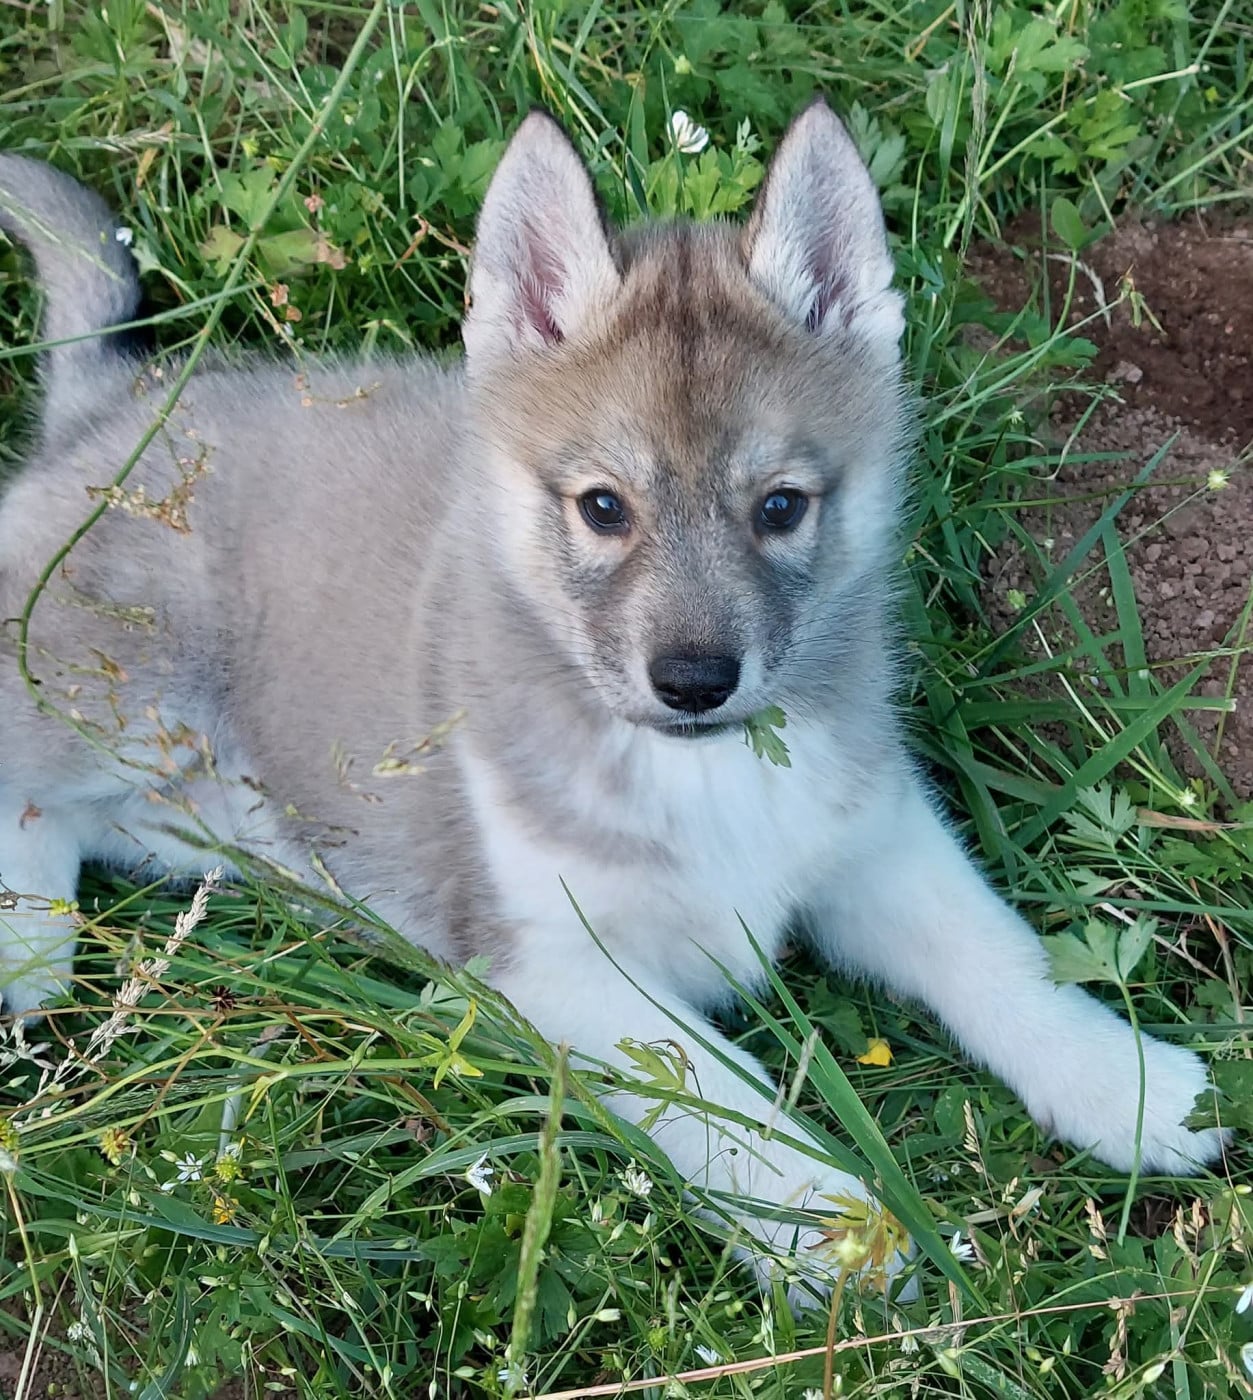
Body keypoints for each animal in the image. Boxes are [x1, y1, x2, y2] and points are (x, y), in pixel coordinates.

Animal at [0, 100, 1227, 1295]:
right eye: (602, 507)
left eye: (780, 507)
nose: (693, 681)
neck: (701, 772)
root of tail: (117, 399)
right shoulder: (558, 964)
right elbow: (721, 1091)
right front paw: (831, 1225)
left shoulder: (871, 837)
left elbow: (994, 952)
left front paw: (1121, 1080)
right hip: (125, 693)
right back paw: (29, 954)